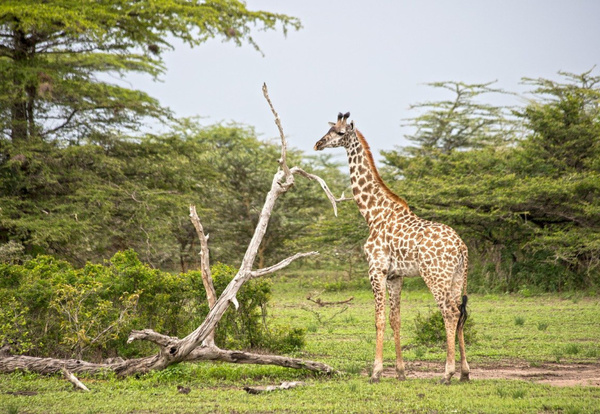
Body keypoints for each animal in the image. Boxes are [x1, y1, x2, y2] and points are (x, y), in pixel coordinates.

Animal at [312, 111, 472, 384]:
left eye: (340, 133)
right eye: (330, 129)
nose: (318, 144)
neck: (372, 213)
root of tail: (461, 247)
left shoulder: (376, 270)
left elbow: (379, 319)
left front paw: (375, 373)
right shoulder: (396, 276)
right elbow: (396, 319)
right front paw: (400, 372)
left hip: (435, 276)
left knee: (449, 313)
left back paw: (447, 373)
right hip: (457, 277)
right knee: (460, 313)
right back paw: (464, 372)